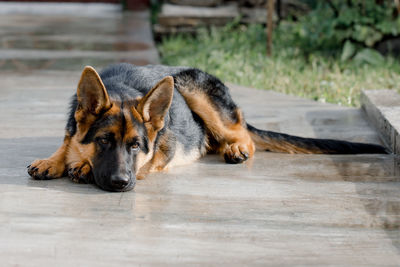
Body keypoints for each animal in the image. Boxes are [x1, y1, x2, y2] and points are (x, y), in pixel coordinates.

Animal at [26, 62, 386, 193]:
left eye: (135, 146)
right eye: (103, 141)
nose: (120, 183)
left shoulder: (157, 155)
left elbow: (144, 164)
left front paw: (83, 167)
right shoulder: (74, 129)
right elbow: (67, 141)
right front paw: (54, 160)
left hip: (193, 88)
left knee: (244, 135)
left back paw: (237, 147)